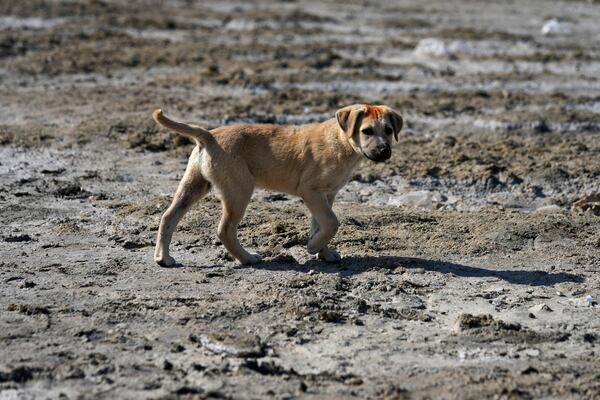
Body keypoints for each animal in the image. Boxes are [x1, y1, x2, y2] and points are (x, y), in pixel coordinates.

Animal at [151, 104, 404, 268]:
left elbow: (320, 224)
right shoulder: (310, 191)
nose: (384, 152)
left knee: (168, 216)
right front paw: (313, 247)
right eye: (367, 131)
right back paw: (247, 258)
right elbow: (331, 223)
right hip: (239, 191)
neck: (342, 142)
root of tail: (209, 135)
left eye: (389, 130)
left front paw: (322, 251)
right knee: (225, 230)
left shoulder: (326, 195)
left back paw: (163, 258)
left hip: (194, 185)